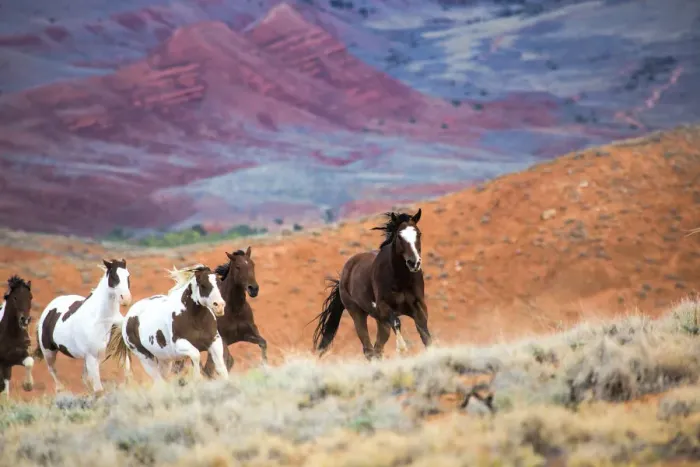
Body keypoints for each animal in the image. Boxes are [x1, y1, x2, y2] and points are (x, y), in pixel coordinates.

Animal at [34, 259, 132, 394]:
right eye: (113, 276)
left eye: (128, 276)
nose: (126, 299)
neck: (100, 320)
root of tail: (49, 309)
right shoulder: (92, 357)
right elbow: (98, 389)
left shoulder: (109, 353)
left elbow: (125, 371)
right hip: (48, 351)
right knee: (52, 369)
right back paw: (60, 388)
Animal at [311, 209, 432, 360]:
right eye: (399, 236)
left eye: (418, 233)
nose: (413, 263)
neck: (401, 279)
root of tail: (344, 274)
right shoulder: (384, 307)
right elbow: (397, 323)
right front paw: (402, 348)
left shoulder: (419, 306)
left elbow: (425, 335)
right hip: (358, 313)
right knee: (369, 349)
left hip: (380, 321)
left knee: (377, 349)